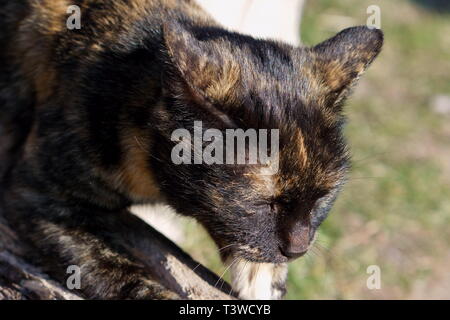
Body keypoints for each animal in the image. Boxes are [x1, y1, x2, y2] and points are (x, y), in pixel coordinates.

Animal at [0, 0, 384, 300]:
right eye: (263, 203)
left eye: (323, 198)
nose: (298, 249)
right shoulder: (37, 195)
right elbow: (104, 264)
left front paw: (262, 278)